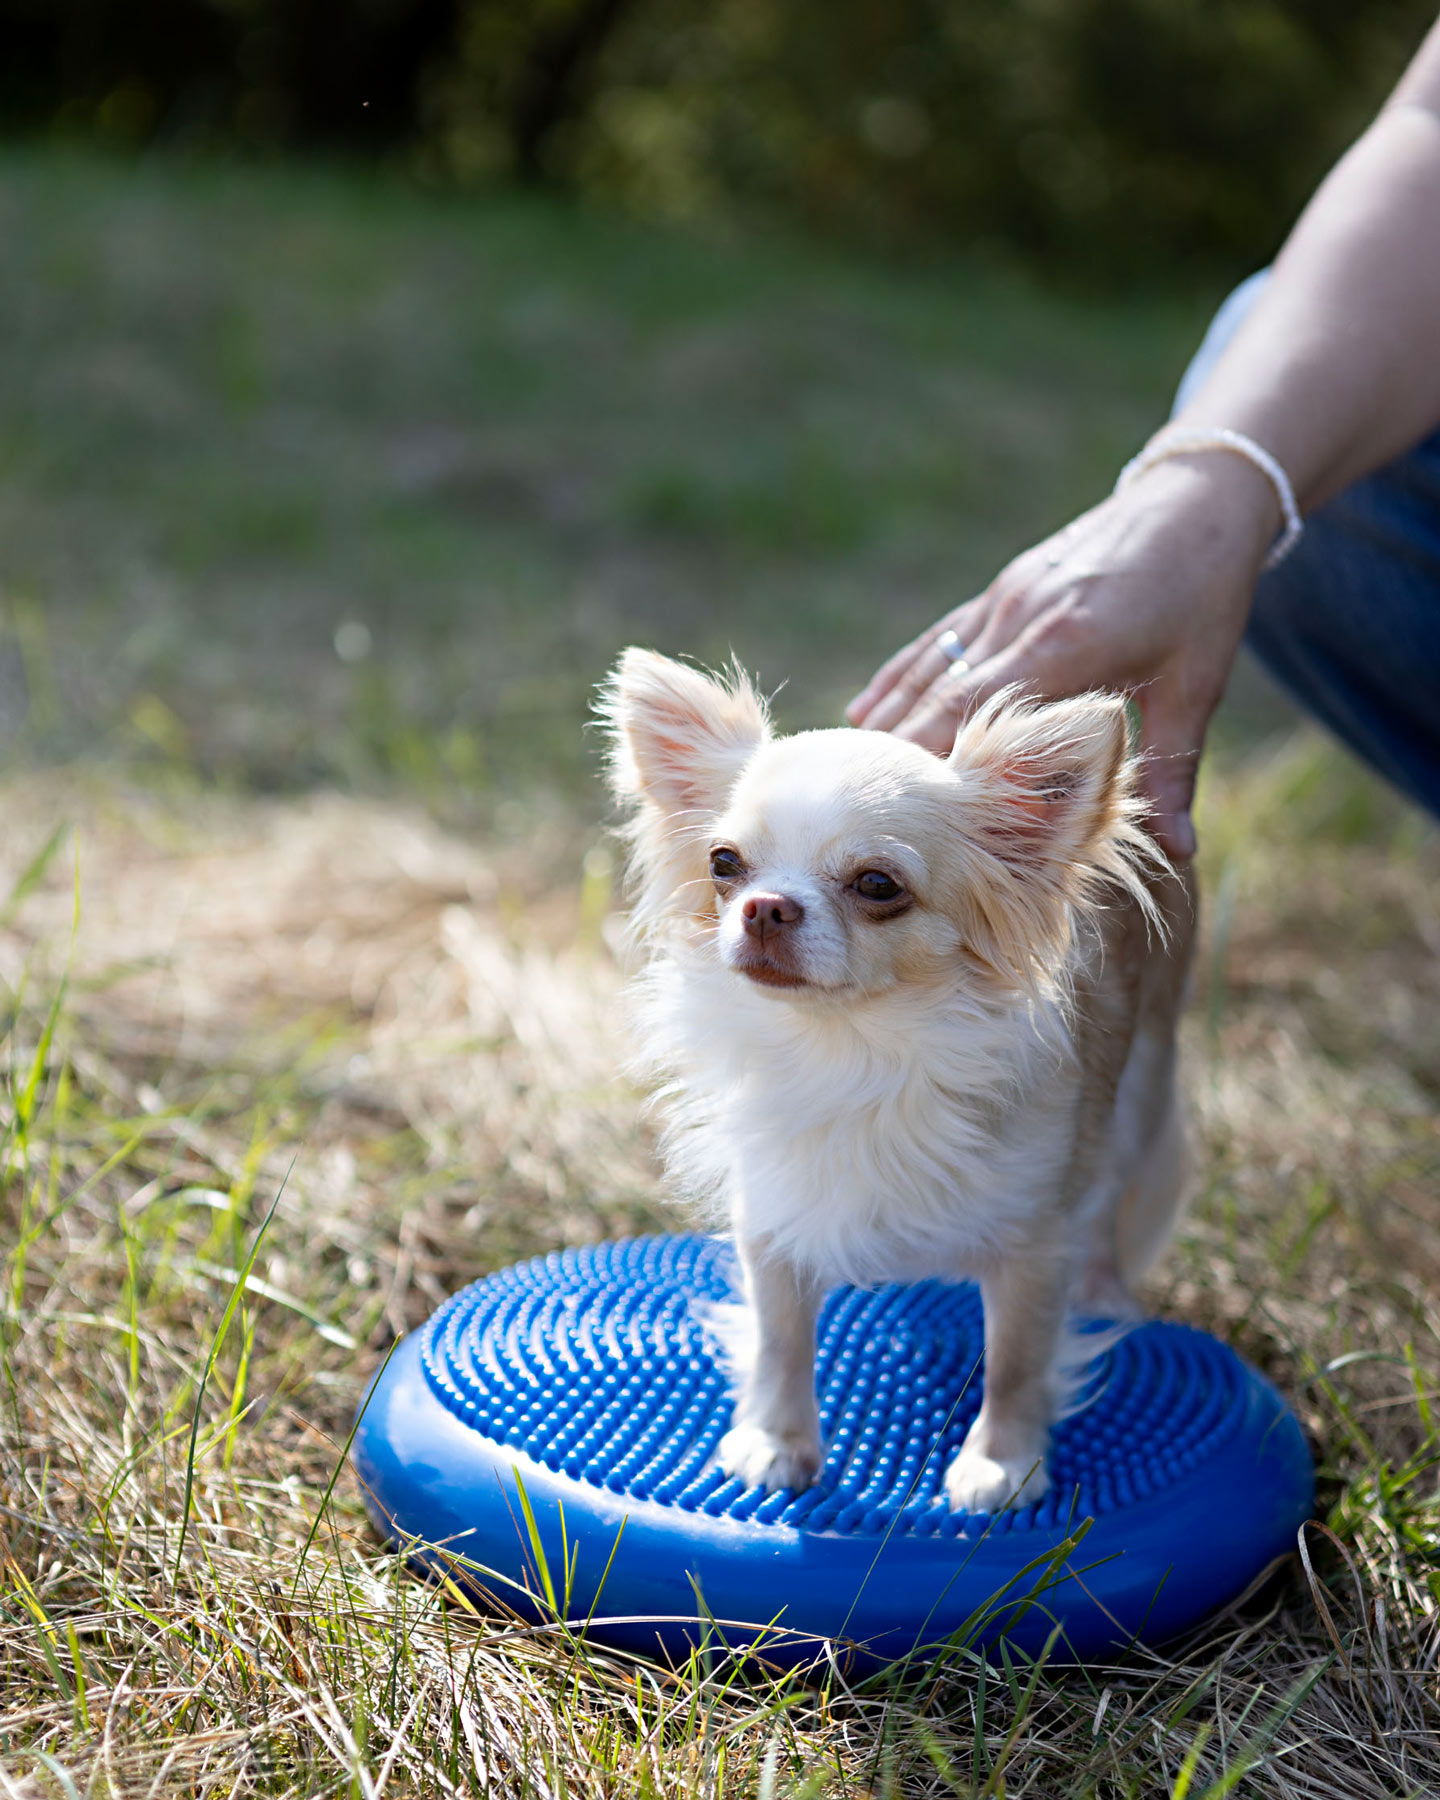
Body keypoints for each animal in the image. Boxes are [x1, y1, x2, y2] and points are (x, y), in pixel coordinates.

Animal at [597, 655, 1195, 1512]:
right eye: (723, 865)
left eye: (878, 885)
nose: (764, 906)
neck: (853, 1048)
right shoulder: (773, 1212)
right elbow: (782, 1336)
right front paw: (778, 1440)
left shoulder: (1036, 1242)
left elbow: (1016, 1362)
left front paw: (1001, 1461)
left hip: (1142, 1081)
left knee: (1113, 1193)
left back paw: (1106, 1292)